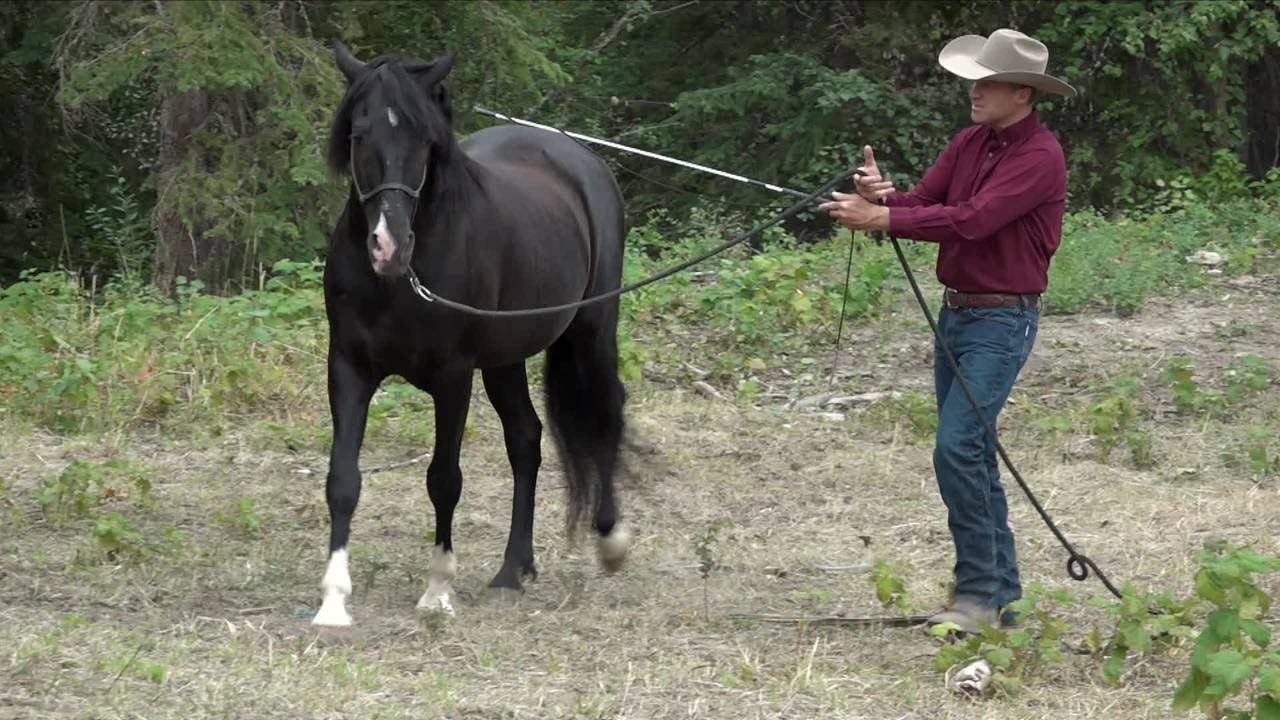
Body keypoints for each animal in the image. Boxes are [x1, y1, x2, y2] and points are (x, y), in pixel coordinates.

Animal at [312, 43, 631, 626]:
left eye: (424, 140)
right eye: (358, 134)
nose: (388, 246)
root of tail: (580, 159)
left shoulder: (453, 377)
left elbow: (444, 479)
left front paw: (438, 590)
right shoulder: (348, 368)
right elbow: (343, 479)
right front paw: (333, 602)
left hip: (591, 329)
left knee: (604, 409)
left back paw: (611, 539)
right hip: (505, 358)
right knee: (526, 439)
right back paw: (513, 569)